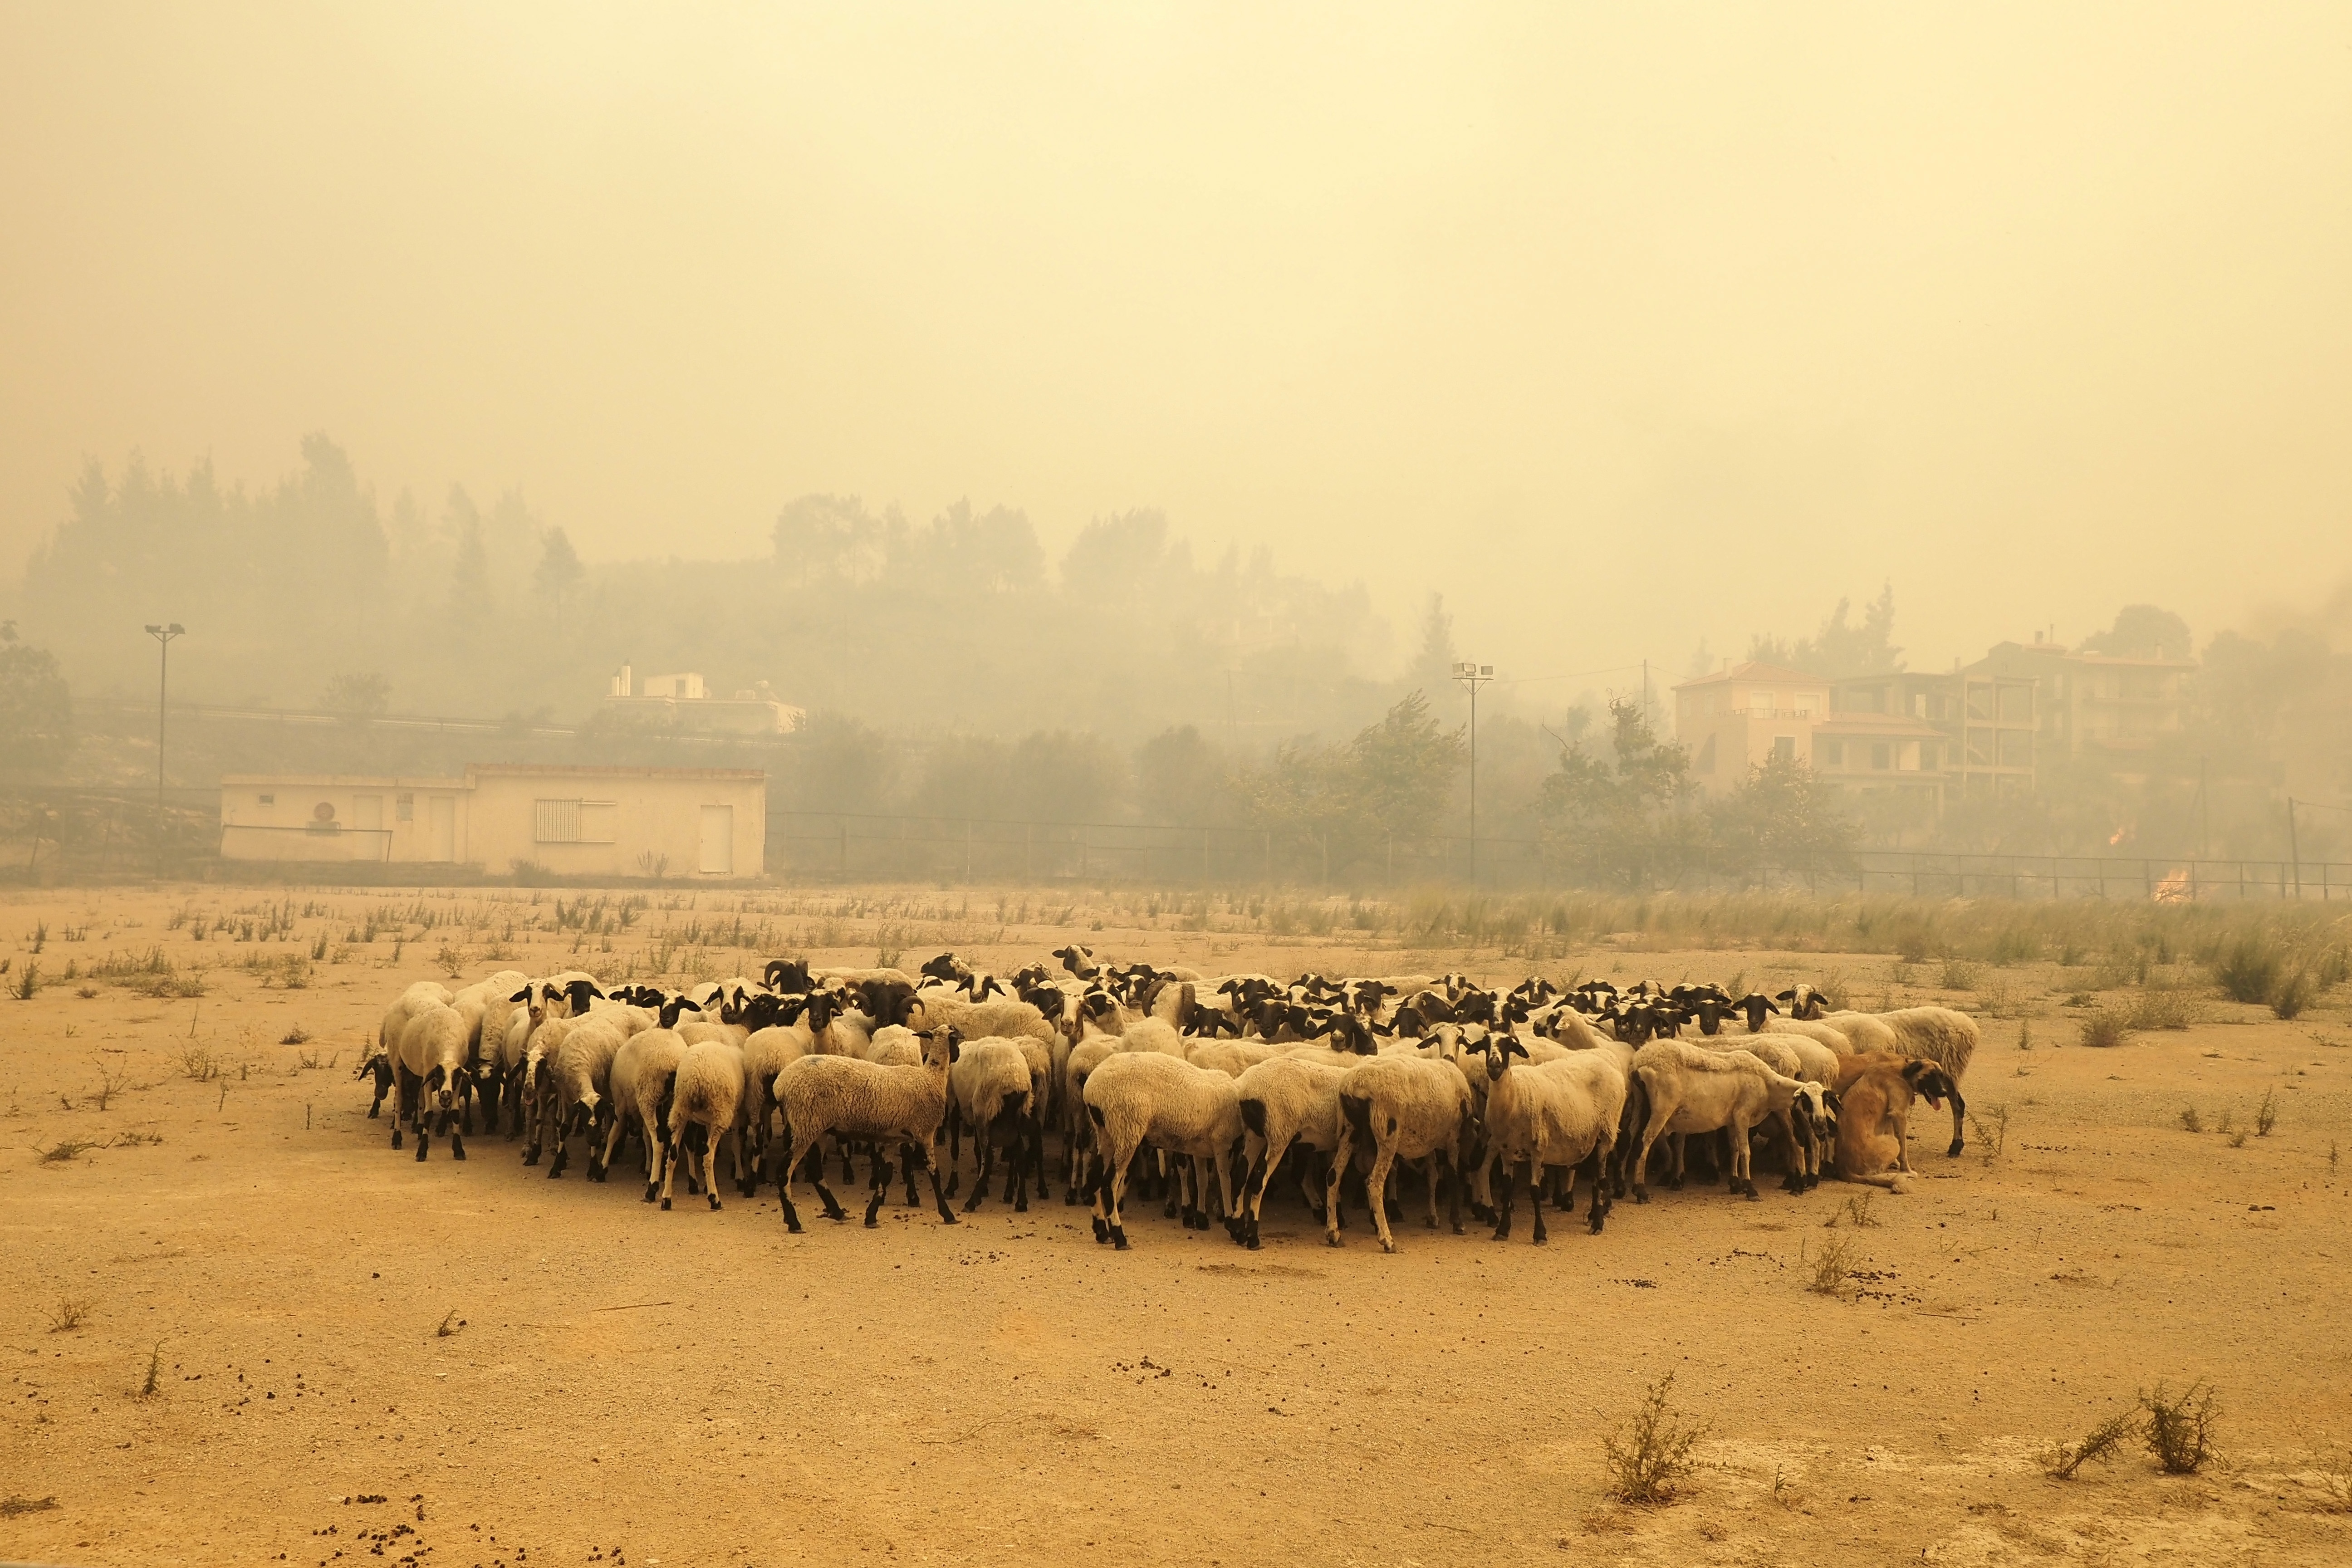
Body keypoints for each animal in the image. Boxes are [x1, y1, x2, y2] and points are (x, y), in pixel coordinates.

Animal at [663, 1044, 743, 1213]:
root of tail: (696, 1077)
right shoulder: (734, 1114)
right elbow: (736, 1145)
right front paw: (740, 1178)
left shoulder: (708, 1121)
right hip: (721, 1111)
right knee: (708, 1156)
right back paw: (715, 1200)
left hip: (681, 1109)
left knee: (673, 1154)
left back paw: (666, 1199)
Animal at [766, 1025, 960, 1232]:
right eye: (957, 1038)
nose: (957, 1055)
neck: (932, 1077)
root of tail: (781, 1084)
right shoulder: (925, 1132)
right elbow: (934, 1174)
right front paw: (948, 1214)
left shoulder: (894, 1139)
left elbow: (886, 1176)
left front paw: (871, 1216)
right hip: (806, 1125)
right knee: (784, 1171)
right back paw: (794, 1221)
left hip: (817, 1129)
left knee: (815, 1170)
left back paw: (837, 1213)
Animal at [1077, 1048, 1251, 1260]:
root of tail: (1092, 1089)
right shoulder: (1222, 1143)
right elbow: (1227, 1183)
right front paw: (1233, 1226)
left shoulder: (1201, 1147)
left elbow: (1203, 1180)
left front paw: (1202, 1219)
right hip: (1127, 1127)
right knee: (1108, 1184)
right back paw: (1119, 1237)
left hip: (1107, 1133)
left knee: (1095, 1178)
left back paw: (1102, 1232)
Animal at [1326, 1048, 1467, 1260]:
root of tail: (1354, 1084)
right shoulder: (1454, 1135)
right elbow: (1452, 1176)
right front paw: (1457, 1223)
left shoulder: (1428, 1140)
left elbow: (1433, 1176)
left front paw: (1433, 1218)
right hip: (1387, 1132)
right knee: (1374, 1182)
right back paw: (1387, 1240)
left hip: (1349, 1130)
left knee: (1333, 1176)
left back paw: (1334, 1234)